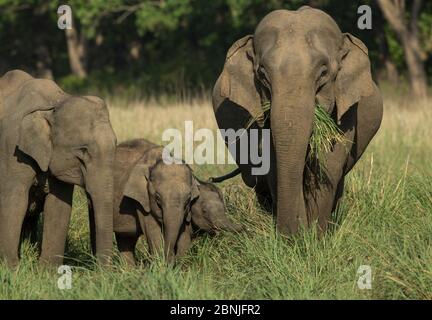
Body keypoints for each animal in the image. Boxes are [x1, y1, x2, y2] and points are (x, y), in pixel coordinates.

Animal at [0, 70, 116, 268]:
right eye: (83, 151)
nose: (100, 270)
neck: (54, 103)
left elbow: (59, 206)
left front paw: (48, 270)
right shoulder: (12, 150)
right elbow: (15, 202)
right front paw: (11, 268)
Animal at [111, 139, 241, 264]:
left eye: (188, 200)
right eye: (157, 198)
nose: (243, 228)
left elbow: (182, 235)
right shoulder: (142, 200)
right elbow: (153, 230)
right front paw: (163, 265)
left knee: (126, 240)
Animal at [211, 6, 384, 234]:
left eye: (323, 72)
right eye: (262, 73)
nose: (296, 231)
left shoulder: (348, 108)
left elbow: (329, 162)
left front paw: (316, 236)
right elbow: (272, 163)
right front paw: (296, 236)